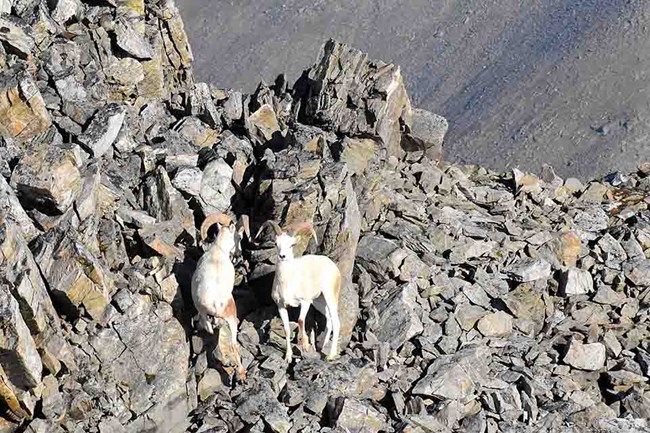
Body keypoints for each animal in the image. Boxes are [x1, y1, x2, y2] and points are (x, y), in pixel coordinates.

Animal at [191, 211, 249, 380]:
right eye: (239, 237)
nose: (239, 253)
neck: (218, 250)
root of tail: (215, 303)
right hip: (232, 318)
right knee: (233, 344)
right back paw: (241, 373)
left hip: (202, 312)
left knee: (208, 327)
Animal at [254, 218, 342, 362]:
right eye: (276, 243)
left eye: (292, 245)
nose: (282, 256)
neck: (287, 283)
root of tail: (332, 265)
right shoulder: (281, 306)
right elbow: (287, 329)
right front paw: (288, 357)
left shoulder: (304, 302)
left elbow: (301, 321)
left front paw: (305, 346)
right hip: (319, 301)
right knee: (329, 320)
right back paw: (322, 347)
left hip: (330, 297)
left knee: (336, 321)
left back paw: (330, 355)